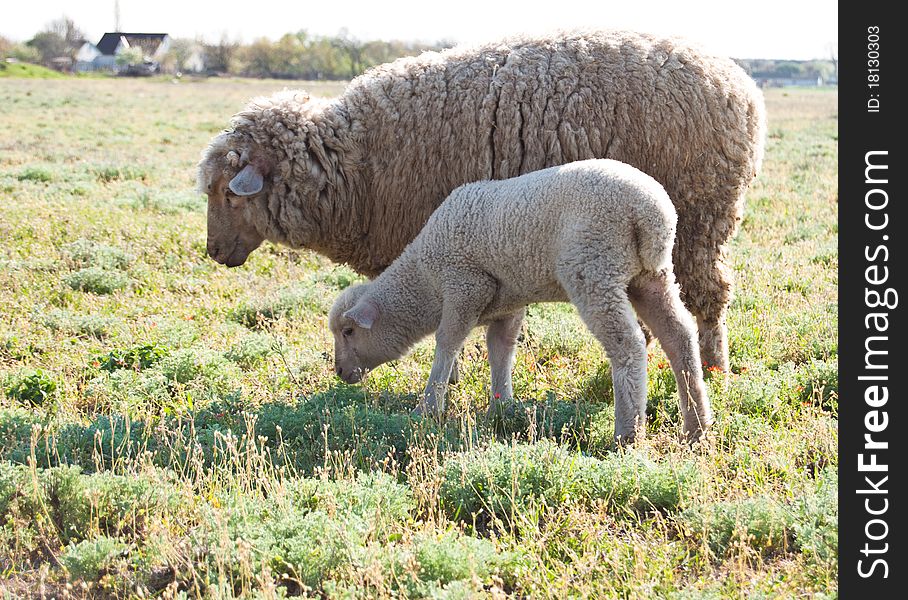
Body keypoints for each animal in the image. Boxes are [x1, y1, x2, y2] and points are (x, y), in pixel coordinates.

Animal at [200, 29, 768, 370]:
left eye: (229, 194)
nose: (213, 253)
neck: (353, 164)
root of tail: (741, 85)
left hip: (700, 218)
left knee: (710, 296)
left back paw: (716, 367)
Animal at [330, 158, 712, 440]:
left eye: (348, 332)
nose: (339, 372)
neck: (425, 279)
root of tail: (652, 212)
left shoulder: (465, 285)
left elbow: (447, 343)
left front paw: (428, 408)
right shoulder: (507, 304)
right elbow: (500, 349)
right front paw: (501, 406)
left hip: (593, 270)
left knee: (628, 345)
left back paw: (628, 432)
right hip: (649, 275)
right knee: (678, 334)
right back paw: (697, 426)